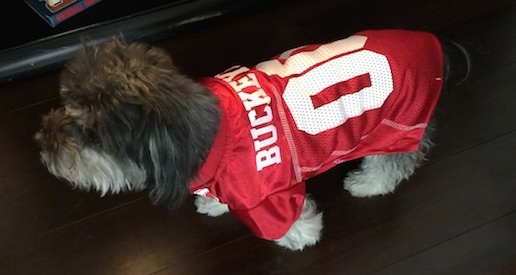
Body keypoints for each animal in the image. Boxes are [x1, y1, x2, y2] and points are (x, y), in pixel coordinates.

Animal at [35, 30, 472, 252]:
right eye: (66, 102)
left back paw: (369, 183)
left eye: (91, 133)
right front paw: (213, 203)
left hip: (400, 121)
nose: (40, 141)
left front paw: (299, 235)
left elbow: (285, 221)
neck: (212, 139)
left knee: (398, 159)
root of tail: (436, 44)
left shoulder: (270, 195)